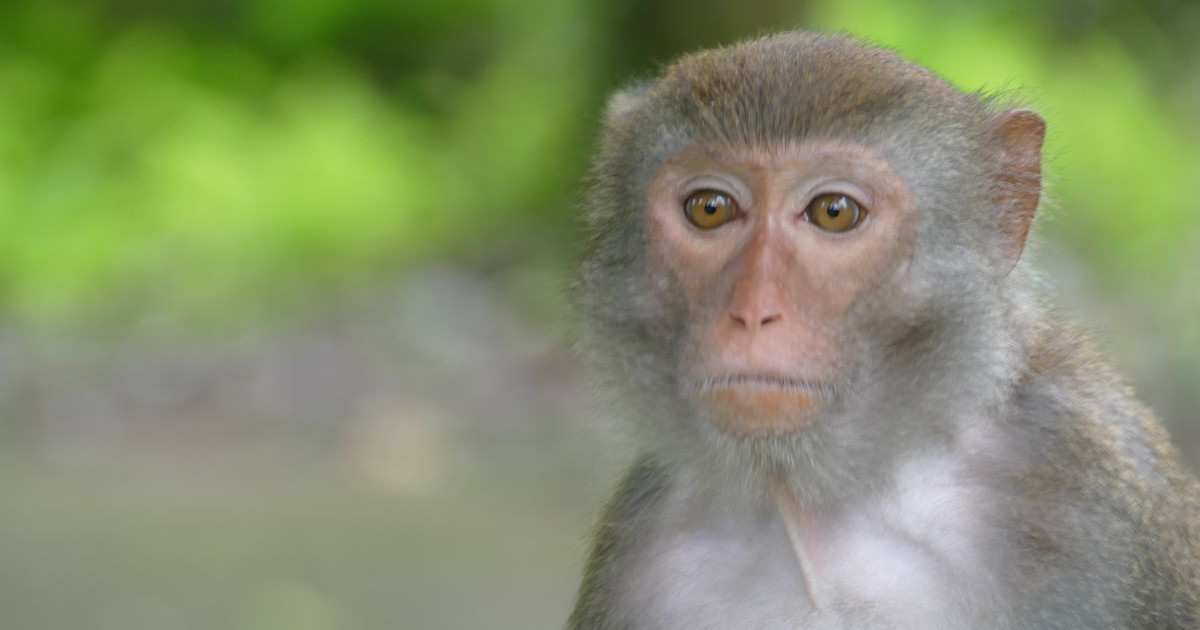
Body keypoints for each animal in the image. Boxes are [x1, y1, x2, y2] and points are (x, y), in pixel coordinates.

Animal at [567, 32, 1200, 630]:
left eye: (834, 212)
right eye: (710, 208)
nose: (752, 312)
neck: (829, 507)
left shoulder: (1086, 476)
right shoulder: (637, 544)